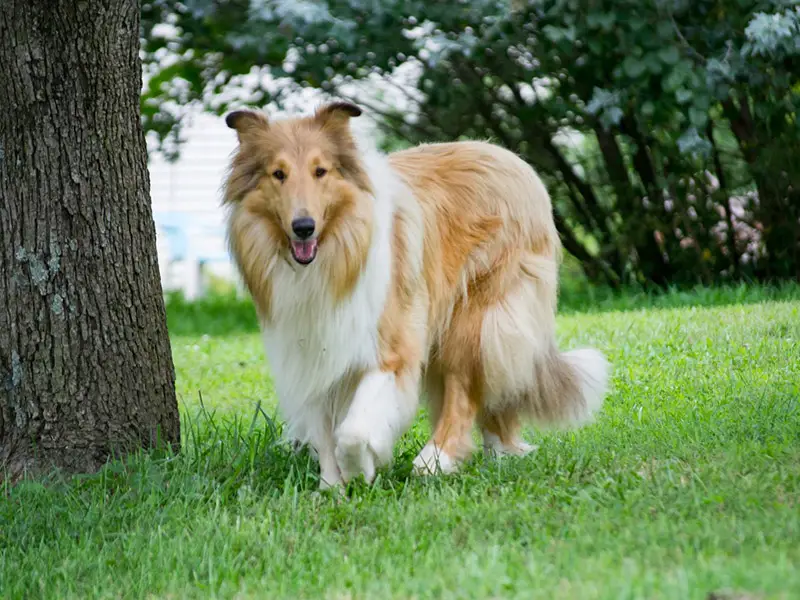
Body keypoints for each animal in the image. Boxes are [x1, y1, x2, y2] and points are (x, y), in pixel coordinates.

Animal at [222, 102, 608, 488]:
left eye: (320, 171)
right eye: (278, 174)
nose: (304, 227)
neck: (334, 255)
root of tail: (510, 159)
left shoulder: (391, 348)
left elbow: (353, 431)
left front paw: (359, 468)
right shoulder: (311, 351)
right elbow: (323, 431)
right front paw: (332, 487)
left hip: (475, 321)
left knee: (462, 394)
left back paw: (436, 460)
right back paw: (500, 450)